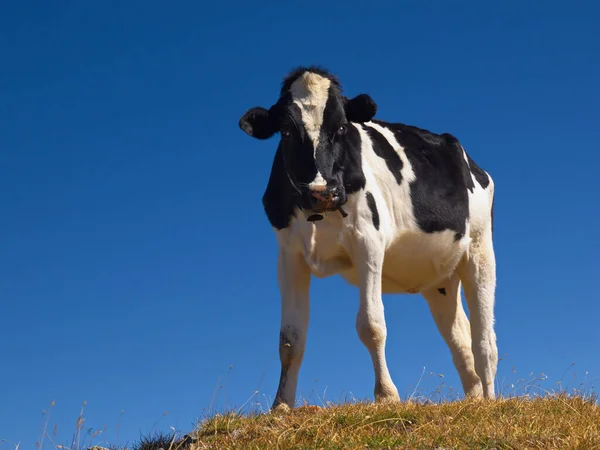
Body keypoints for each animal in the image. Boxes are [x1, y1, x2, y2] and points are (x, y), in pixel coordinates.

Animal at [239, 66, 496, 412]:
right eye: (286, 132)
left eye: (341, 126)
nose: (322, 192)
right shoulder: (288, 255)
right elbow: (291, 339)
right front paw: (281, 406)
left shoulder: (367, 241)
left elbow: (371, 324)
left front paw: (386, 395)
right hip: (439, 278)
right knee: (460, 340)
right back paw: (474, 402)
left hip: (480, 249)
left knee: (484, 341)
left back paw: (492, 401)